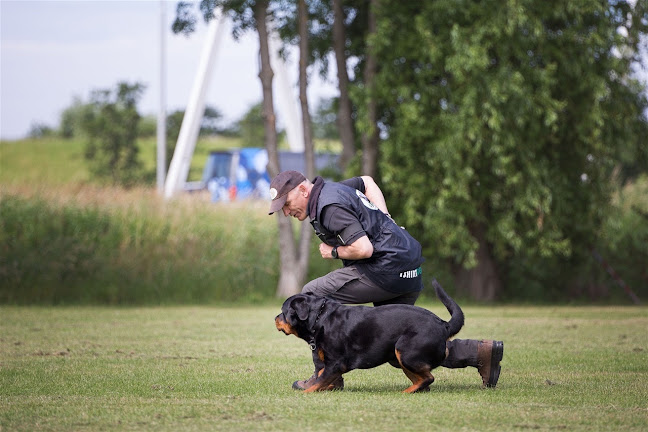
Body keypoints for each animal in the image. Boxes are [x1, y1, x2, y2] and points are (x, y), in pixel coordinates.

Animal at [272, 278, 460, 394]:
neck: (320, 318)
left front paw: (306, 392)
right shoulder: (328, 363)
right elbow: (322, 377)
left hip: (405, 351)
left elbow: (320, 380)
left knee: (428, 377)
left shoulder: (336, 362)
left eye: (283, 312)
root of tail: (443, 324)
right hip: (399, 357)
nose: (275, 318)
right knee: (421, 379)